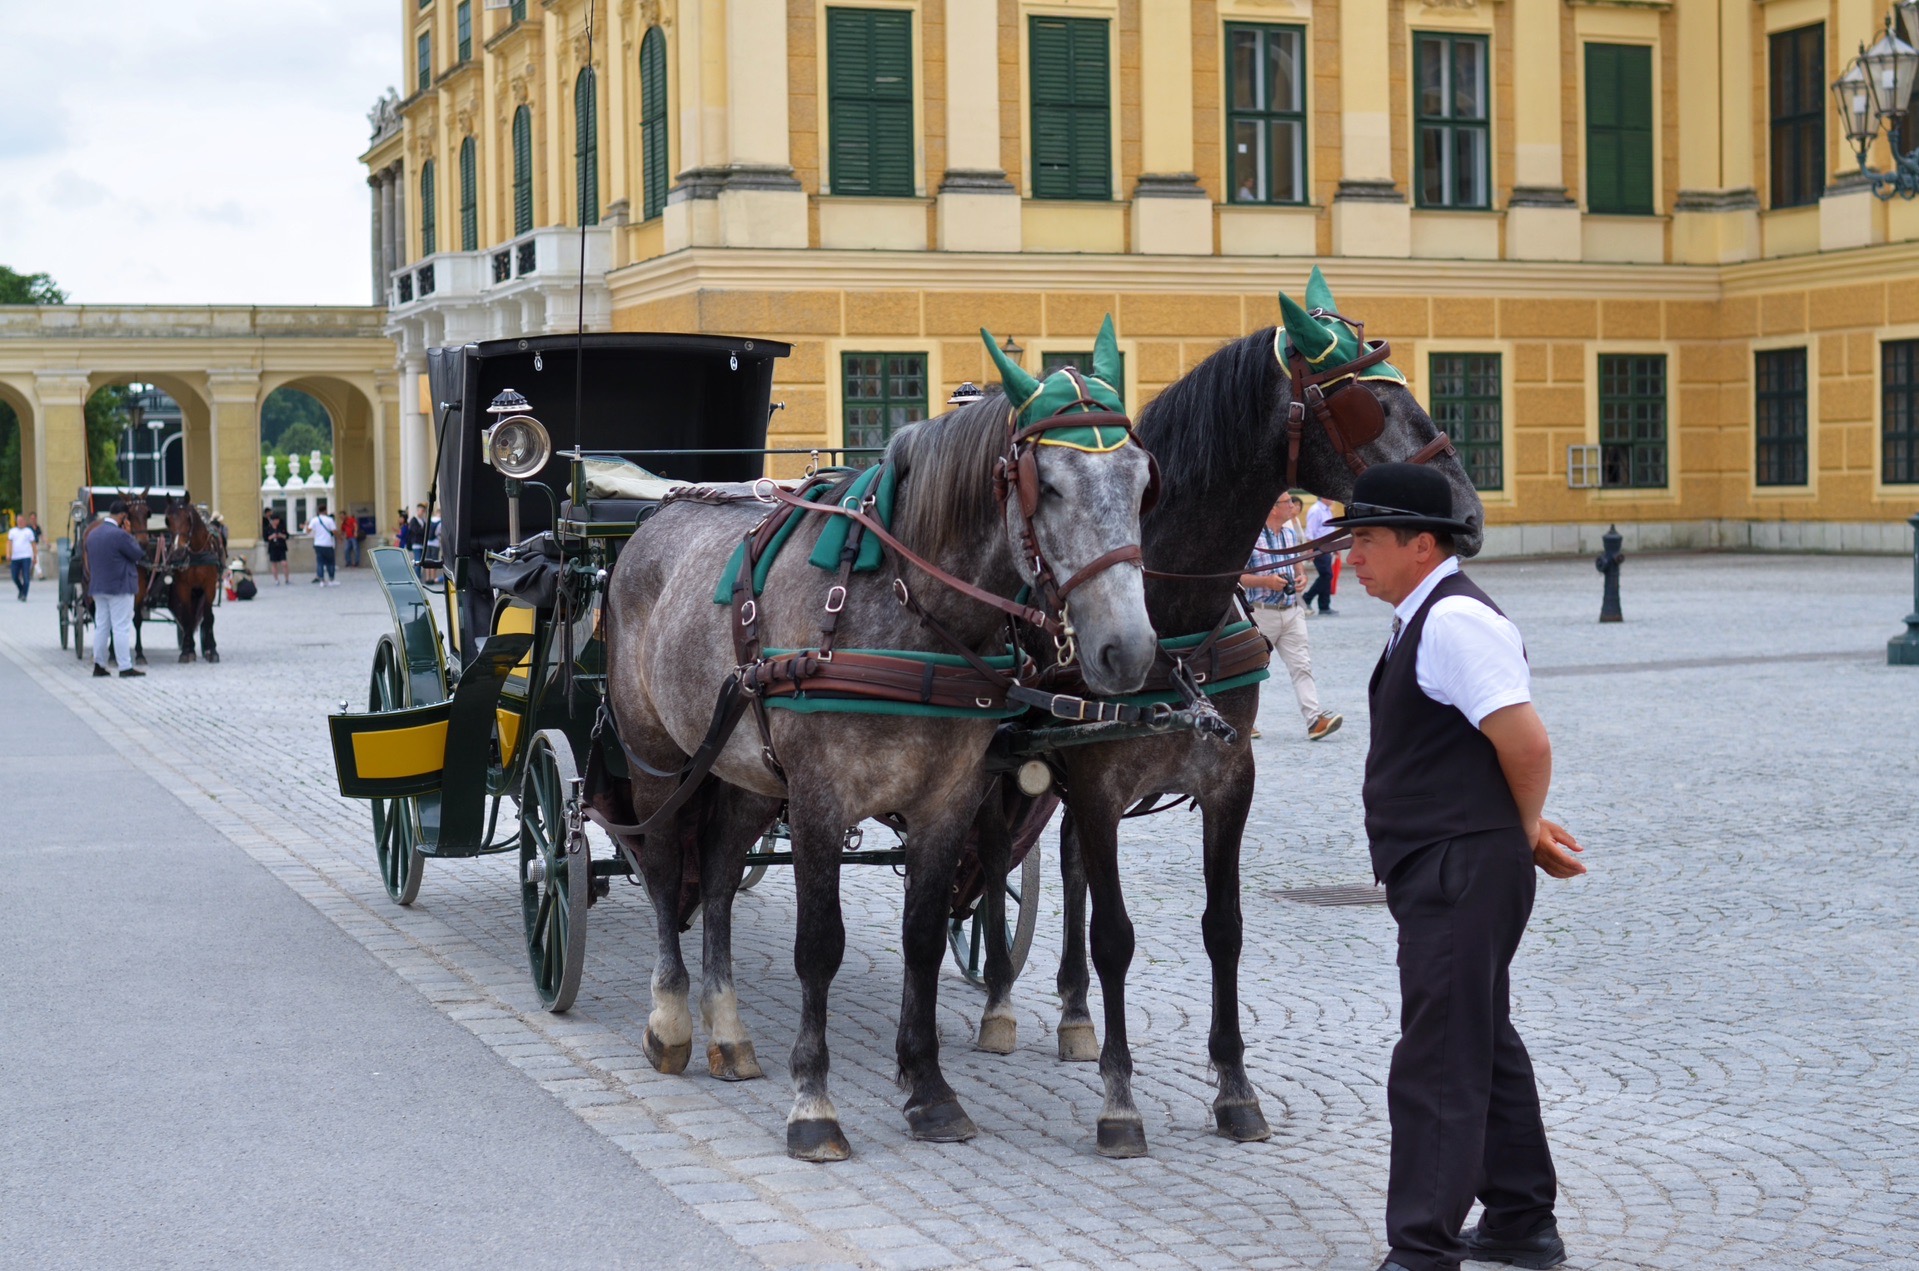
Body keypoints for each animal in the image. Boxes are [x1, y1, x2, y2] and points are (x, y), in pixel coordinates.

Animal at [165, 503, 222, 668]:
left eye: (188, 519)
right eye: (167, 520)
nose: (177, 553)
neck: (197, 553)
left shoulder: (209, 587)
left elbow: (208, 617)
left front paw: (212, 651)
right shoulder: (183, 587)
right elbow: (187, 618)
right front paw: (187, 651)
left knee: (208, 617)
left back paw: (209, 646)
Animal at [606, 355, 1159, 1167]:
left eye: (1143, 481)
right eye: (1049, 485)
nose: (1129, 650)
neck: (906, 612)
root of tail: (655, 519)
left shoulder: (947, 800)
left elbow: (922, 939)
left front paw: (929, 1090)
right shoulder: (817, 801)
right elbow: (818, 946)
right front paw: (813, 1103)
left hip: (745, 772)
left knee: (717, 874)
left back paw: (728, 1029)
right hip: (656, 761)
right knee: (662, 868)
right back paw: (671, 1018)